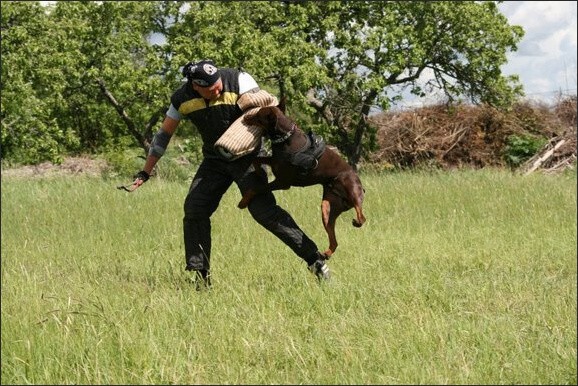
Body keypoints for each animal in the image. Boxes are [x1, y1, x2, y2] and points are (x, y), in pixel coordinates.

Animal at [235, 101, 364, 258]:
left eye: (259, 116)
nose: (244, 117)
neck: (285, 138)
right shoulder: (275, 162)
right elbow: (257, 159)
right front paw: (259, 172)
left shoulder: (283, 182)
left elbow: (257, 188)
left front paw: (243, 201)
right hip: (327, 208)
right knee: (334, 239)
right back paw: (326, 253)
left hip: (352, 189)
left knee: (361, 215)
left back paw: (357, 221)